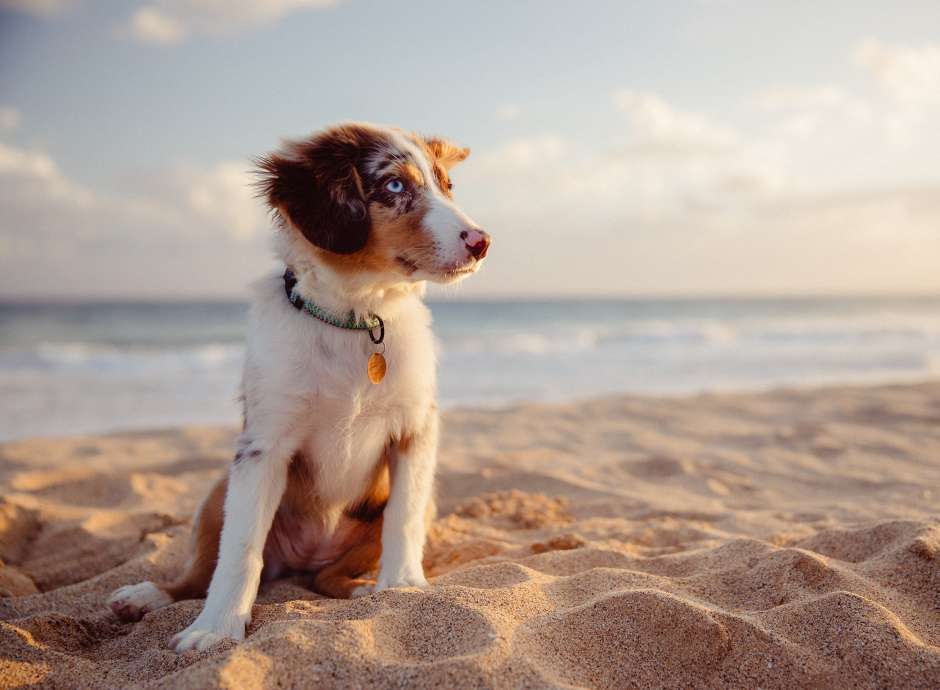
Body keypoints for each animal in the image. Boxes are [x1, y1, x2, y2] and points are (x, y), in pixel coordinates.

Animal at [106, 122, 492, 652]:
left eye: (447, 185)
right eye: (395, 186)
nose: (482, 241)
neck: (356, 319)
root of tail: (307, 556)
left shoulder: (416, 429)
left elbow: (404, 515)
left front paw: (403, 585)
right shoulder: (263, 445)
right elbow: (240, 549)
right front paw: (216, 628)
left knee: (327, 578)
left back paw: (360, 589)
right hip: (216, 494)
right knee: (199, 574)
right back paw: (147, 596)